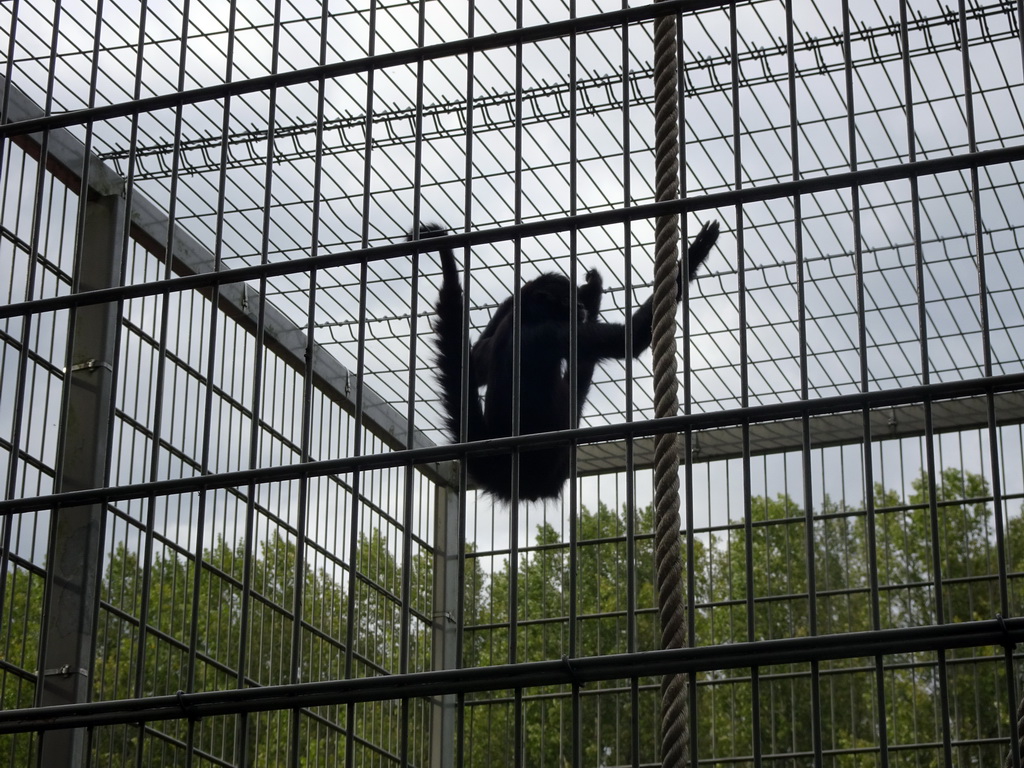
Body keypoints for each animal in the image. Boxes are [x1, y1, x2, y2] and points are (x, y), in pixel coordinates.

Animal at [415, 219, 720, 501]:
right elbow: (628, 340)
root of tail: (502, 470)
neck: (526, 319)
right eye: (568, 300)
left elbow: (475, 364)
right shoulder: (551, 333)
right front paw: (698, 248)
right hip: (555, 460)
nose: (581, 306)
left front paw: (520, 293)